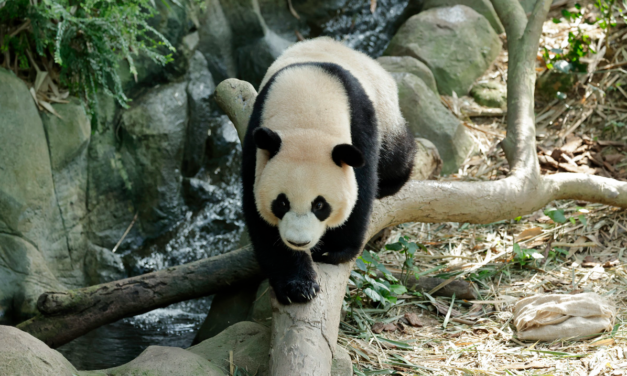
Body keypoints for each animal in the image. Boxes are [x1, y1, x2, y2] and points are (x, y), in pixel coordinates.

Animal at [242, 36, 418, 304]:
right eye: (281, 202)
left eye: (320, 205)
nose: (298, 241)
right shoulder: (257, 139)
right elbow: (258, 215)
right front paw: (297, 284)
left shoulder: (360, 121)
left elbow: (361, 189)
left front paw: (333, 250)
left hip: (385, 109)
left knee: (395, 154)